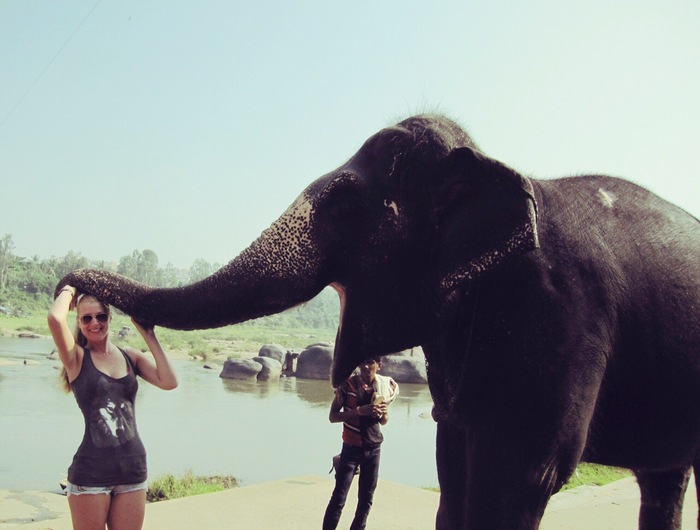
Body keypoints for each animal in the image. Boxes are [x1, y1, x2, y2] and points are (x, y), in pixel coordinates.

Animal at [56, 113, 700, 524]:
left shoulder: (562, 312)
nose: (71, 284)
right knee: (663, 478)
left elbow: (523, 474)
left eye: (345, 207)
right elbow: (454, 459)